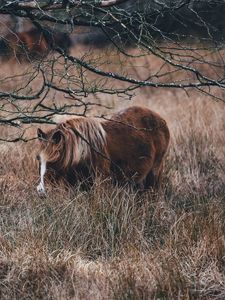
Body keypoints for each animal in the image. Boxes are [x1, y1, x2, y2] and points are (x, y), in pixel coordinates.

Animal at [36, 105, 169, 195]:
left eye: (53, 161)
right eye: (38, 159)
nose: (41, 190)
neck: (84, 152)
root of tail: (161, 120)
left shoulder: (100, 182)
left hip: (155, 171)